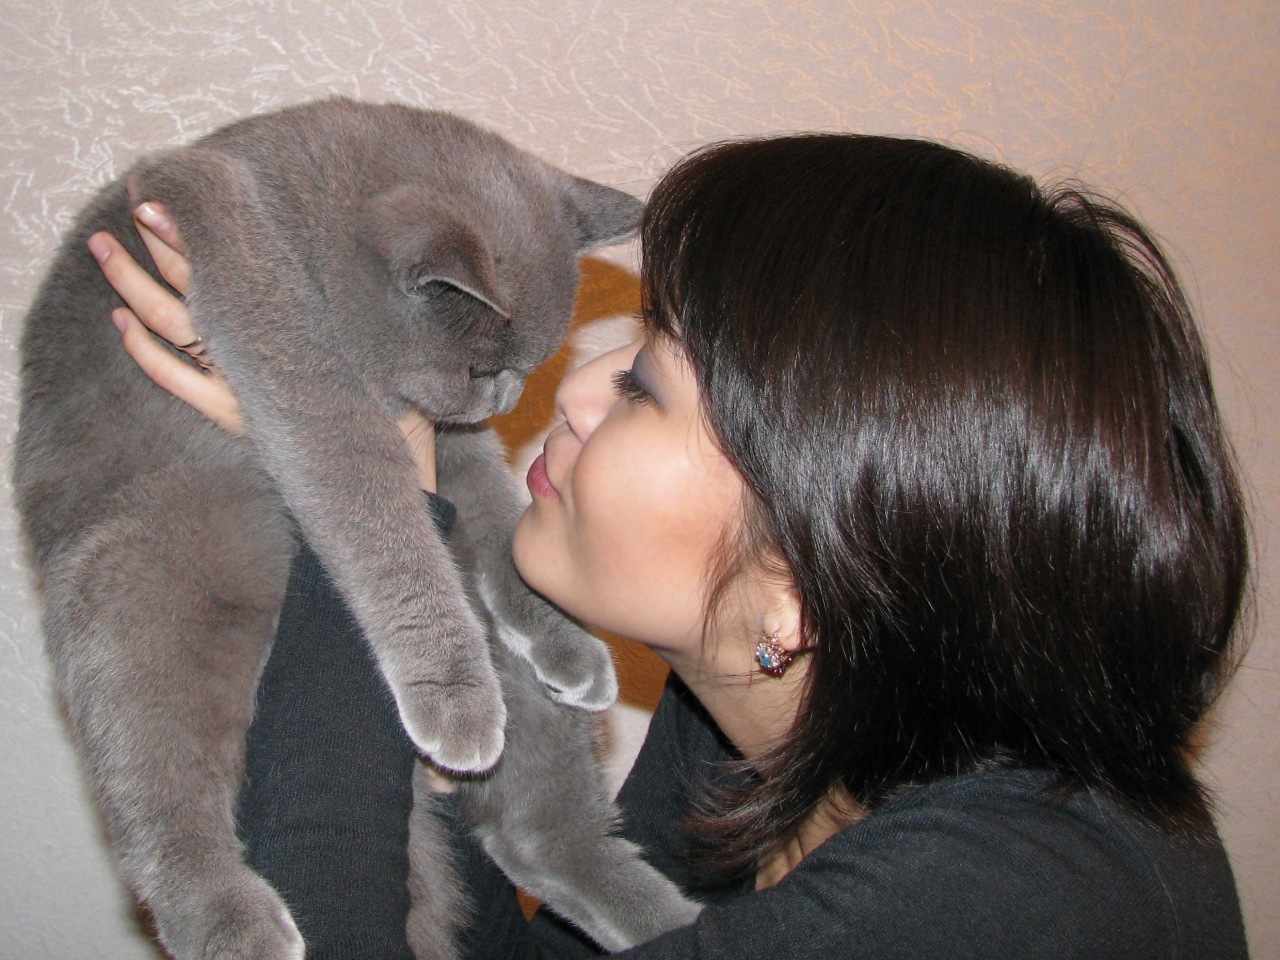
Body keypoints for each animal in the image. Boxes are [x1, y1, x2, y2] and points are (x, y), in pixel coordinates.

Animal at [12, 97, 700, 959]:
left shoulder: (444, 438)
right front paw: (456, 696)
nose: (508, 397)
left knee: (554, 839)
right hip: (134, 587)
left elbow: (494, 512)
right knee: (160, 805)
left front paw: (564, 639)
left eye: (527, 365)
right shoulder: (280, 331)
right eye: (484, 366)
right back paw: (239, 923)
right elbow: (376, 512)